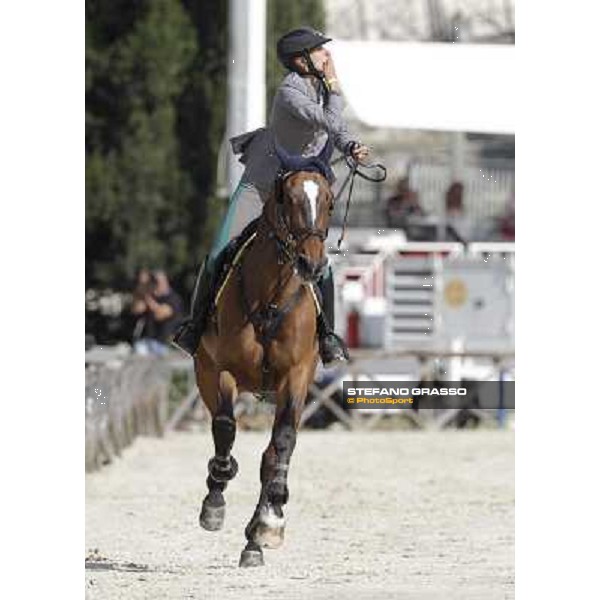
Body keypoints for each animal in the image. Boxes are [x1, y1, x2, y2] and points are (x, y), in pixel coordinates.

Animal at [192, 139, 336, 568]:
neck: (270, 297)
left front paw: (269, 523)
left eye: (330, 201)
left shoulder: (298, 376)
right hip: (205, 372)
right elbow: (225, 428)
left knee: (271, 452)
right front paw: (216, 499)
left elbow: (282, 444)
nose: (311, 264)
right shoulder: (220, 370)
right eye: (285, 197)